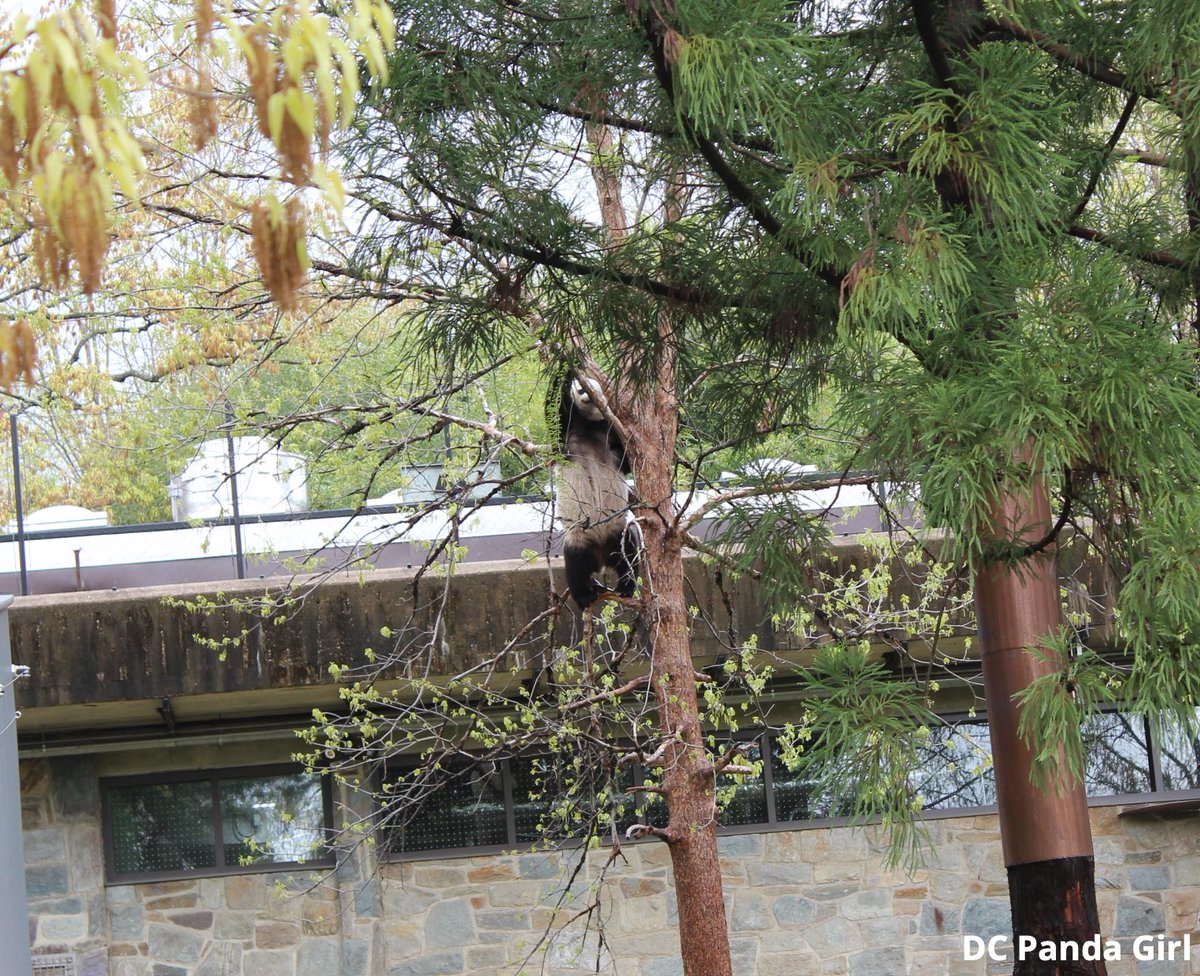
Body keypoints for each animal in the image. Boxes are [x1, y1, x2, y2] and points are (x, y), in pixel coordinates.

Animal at [555, 373, 643, 610]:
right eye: (581, 389)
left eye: (594, 388)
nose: (587, 397)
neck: (589, 423)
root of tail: (602, 559)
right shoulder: (568, 432)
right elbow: (554, 417)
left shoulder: (608, 432)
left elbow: (627, 461)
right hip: (580, 538)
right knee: (575, 566)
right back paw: (585, 595)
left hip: (618, 531)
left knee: (630, 553)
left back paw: (625, 587)